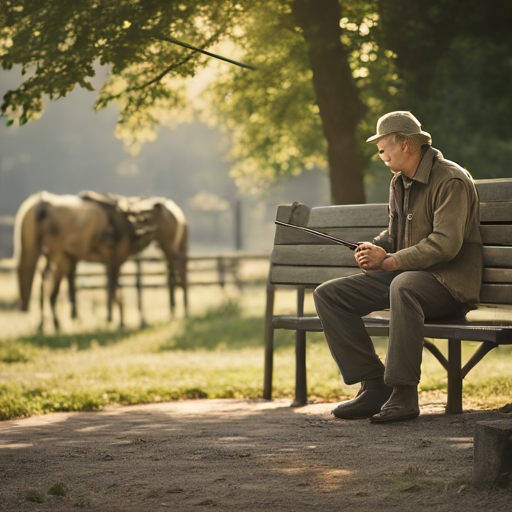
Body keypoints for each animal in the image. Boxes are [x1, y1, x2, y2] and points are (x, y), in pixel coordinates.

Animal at [14, 190, 188, 330]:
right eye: (172, 226)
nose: (174, 254)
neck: (131, 221)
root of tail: (42, 203)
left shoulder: (111, 262)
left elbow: (113, 290)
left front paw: (115, 319)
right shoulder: (116, 260)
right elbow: (114, 290)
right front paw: (117, 322)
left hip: (52, 256)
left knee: (44, 280)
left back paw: (44, 324)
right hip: (58, 257)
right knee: (51, 286)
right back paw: (55, 324)